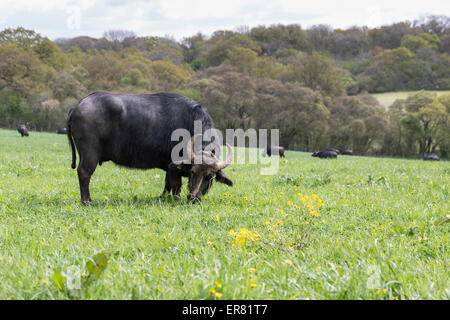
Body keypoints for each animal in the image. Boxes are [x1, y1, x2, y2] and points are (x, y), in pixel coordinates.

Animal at [69, 92, 236, 202]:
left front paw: (163, 196)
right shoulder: (174, 167)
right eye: (193, 172)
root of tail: (78, 105)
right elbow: (176, 186)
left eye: (210, 177)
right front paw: (175, 199)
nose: (193, 198)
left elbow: (167, 183)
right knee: (84, 173)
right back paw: (87, 201)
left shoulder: (169, 167)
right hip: (90, 154)